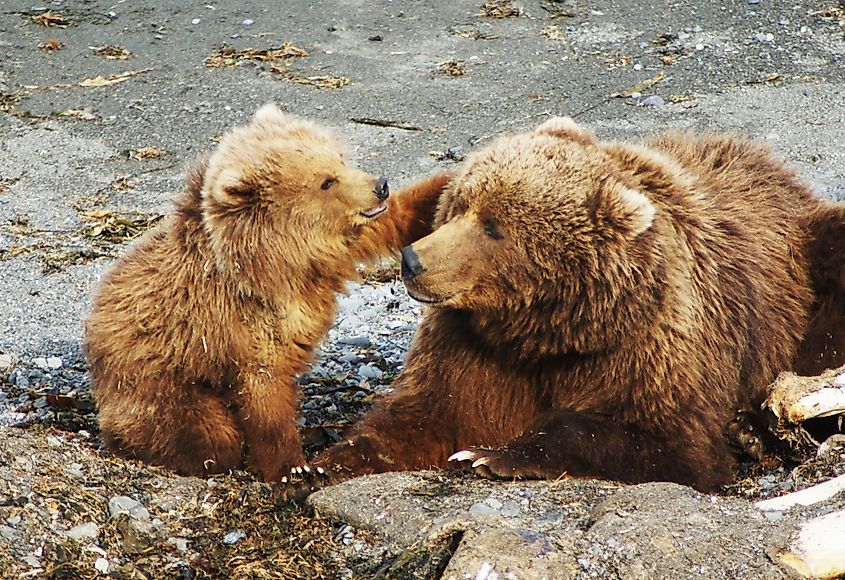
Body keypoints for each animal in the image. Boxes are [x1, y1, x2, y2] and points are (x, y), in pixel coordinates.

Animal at [84, 103, 451, 481]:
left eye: (339, 159)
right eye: (325, 181)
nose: (380, 185)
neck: (279, 262)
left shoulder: (331, 250)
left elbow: (389, 221)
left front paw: (443, 183)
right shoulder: (242, 320)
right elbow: (265, 388)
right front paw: (292, 468)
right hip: (157, 382)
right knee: (204, 431)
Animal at [301, 117, 845, 493]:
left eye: (494, 227)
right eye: (461, 203)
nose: (413, 260)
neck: (547, 329)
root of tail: (782, 174)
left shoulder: (648, 347)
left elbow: (667, 441)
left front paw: (494, 455)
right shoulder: (472, 349)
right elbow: (425, 413)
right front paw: (318, 464)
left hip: (809, 258)